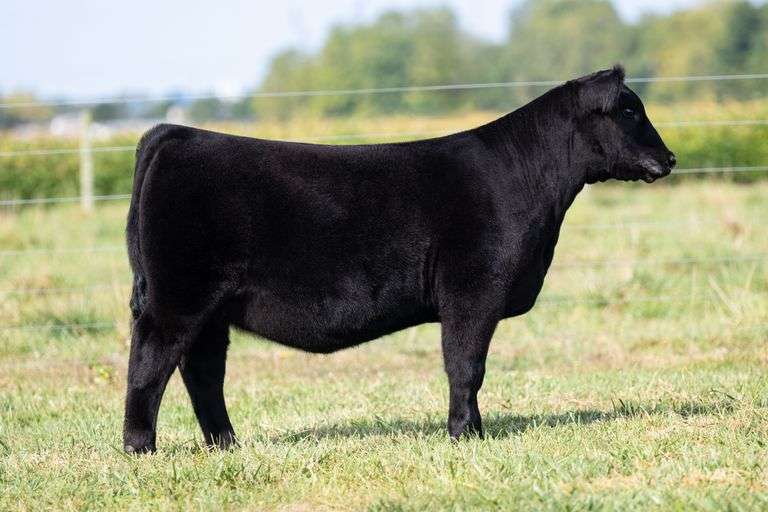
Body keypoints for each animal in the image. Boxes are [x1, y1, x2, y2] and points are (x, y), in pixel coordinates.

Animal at [123, 66, 675, 453]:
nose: (670, 159)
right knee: (150, 363)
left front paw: (469, 432)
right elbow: (466, 365)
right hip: (179, 297)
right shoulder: (473, 290)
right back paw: (140, 448)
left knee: (202, 371)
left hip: (210, 308)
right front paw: (465, 435)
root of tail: (176, 134)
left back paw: (225, 444)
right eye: (629, 111)